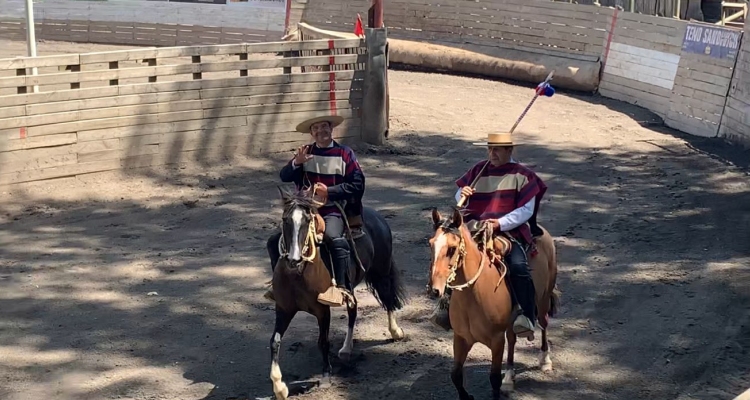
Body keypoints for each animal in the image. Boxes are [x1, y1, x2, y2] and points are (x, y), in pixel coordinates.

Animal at [268, 188, 408, 400]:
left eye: (307, 220)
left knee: (387, 298)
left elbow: (323, 341)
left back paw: (394, 332)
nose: (294, 259)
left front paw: (326, 376)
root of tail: (376, 216)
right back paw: (346, 349)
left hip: (381, 272)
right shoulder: (284, 309)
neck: (299, 274)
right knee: (354, 308)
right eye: (285, 219)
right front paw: (279, 387)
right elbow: (275, 341)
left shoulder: (322, 310)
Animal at [426, 208, 560, 398]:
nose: (434, 289)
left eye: (452, 248)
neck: (474, 295)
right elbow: (456, 375)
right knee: (512, 337)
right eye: (431, 244)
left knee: (543, 323)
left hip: (543, 300)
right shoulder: (461, 338)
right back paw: (509, 376)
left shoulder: (496, 340)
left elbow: (494, 379)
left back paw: (545, 360)